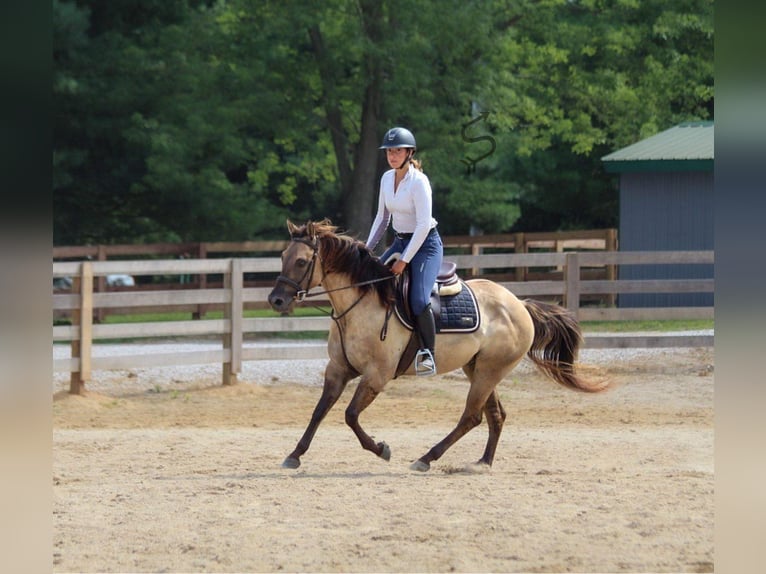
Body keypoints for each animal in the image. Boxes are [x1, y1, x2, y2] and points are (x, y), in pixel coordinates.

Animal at [270, 219, 612, 472]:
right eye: (283, 257)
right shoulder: (338, 369)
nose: (276, 300)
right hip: (478, 369)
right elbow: (319, 411)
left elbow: (350, 415)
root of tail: (520, 305)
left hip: (488, 372)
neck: (362, 301)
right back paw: (483, 463)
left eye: (301, 261)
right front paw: (294, 455)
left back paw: (426, 458)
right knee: (495, 415)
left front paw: (381, 449)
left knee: (472, 416)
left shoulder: (376, 375)